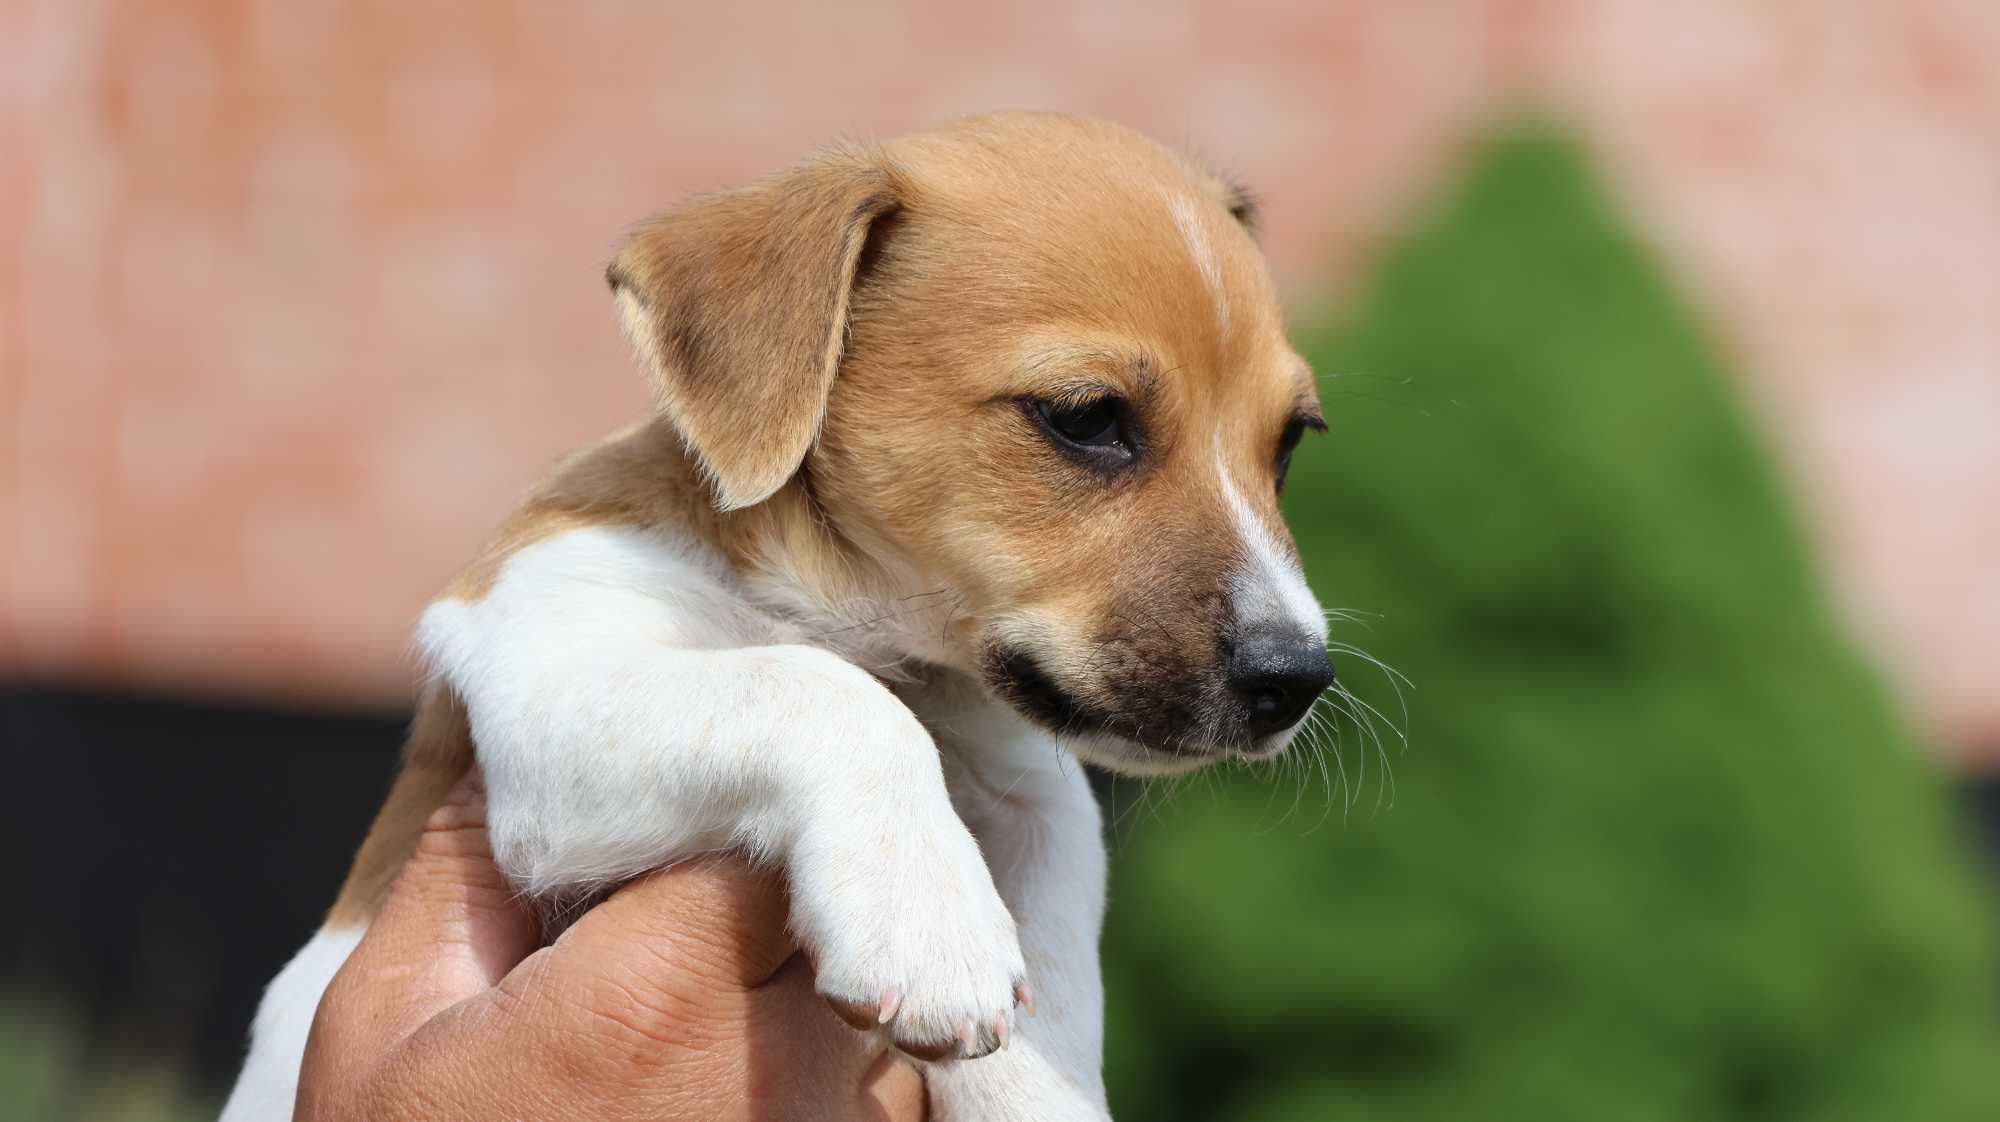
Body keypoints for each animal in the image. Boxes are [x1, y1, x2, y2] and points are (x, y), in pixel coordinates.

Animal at [223, 114, 1328, 1120]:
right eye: (1086, 418)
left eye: (1290, 443)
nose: (1297, 678)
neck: (842, 609)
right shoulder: (551, 681)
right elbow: (818, 690)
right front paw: (925, 923)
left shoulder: (1025, 791)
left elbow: (1056, 957)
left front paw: (1028, 1078)